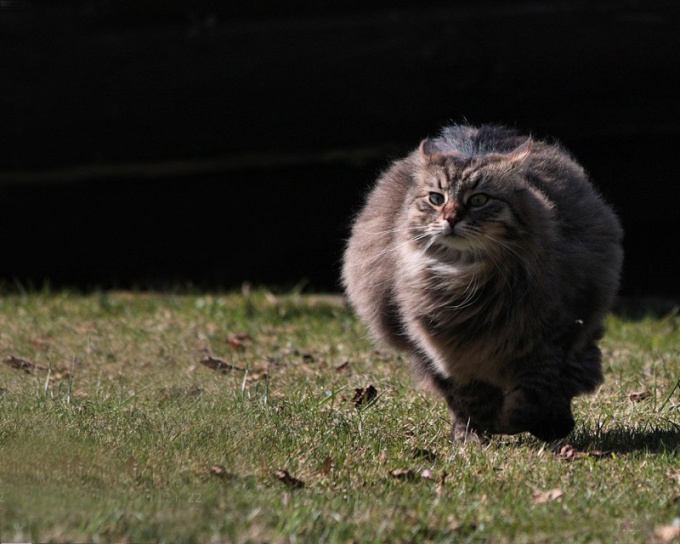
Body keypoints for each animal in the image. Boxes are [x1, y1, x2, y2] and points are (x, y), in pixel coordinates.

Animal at [342, 125, 624, 444]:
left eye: (479, 200)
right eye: (436, 199)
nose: (450, 218)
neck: (462, 279)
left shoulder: (550, 340)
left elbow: (530, 398)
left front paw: (517, 423)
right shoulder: (449, 355)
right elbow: (471, 400)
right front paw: (476, 434)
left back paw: (554, 425)